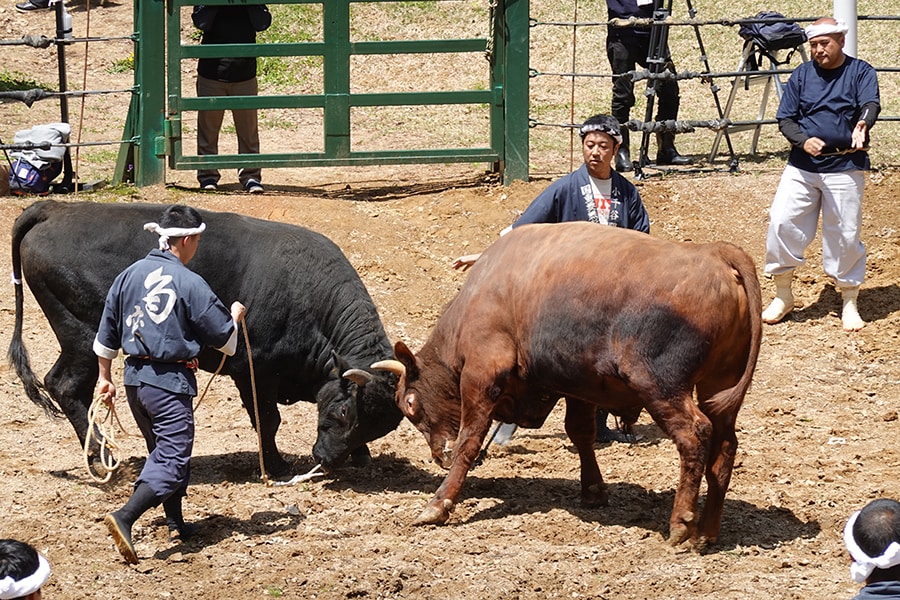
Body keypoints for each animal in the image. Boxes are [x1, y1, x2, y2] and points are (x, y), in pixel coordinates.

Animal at [7, 200, 400, 474]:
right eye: (344, 410)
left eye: (380, 426)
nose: (327, 459)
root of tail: (56, 208)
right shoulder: (254, 370)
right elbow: (268, 419)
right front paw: (275, 465)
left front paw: (361, 455)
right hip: (81, 335)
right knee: (67, 385)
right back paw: (99, 455)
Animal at [376, 221, 764, 548]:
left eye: (410, 404)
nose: (436, 456)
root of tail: (713, 253)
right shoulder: (580, 386)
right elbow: (581, 433)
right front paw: (593, 490)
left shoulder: (482, 374)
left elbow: (469, 442)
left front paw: (438, 504)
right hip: (717, 387)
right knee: (724, 444)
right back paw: (708, 531)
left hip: (661, 386)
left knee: (695, 434)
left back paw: (682, 524)